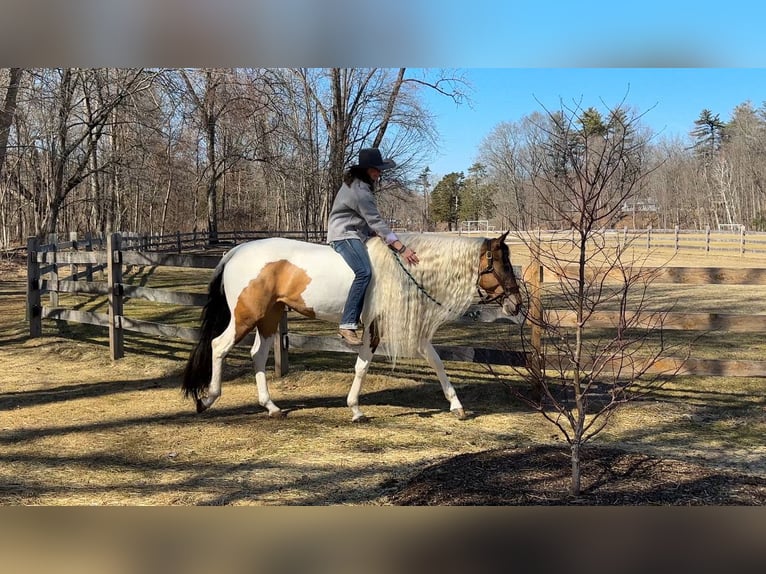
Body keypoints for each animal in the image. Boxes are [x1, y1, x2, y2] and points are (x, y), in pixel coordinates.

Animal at [183, 232, 524, 426]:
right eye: (503, 264)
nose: (517, 304)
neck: (405, 270)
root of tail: (236, 251)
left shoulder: (409, 333)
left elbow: (436, 361)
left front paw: (457, 406)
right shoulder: (376, 327)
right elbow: (362, 366)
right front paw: (356, 409)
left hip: (269, 317)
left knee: (257, 354)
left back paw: (271, 407)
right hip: (246, 315)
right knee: (219, 346)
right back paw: (208, 399)